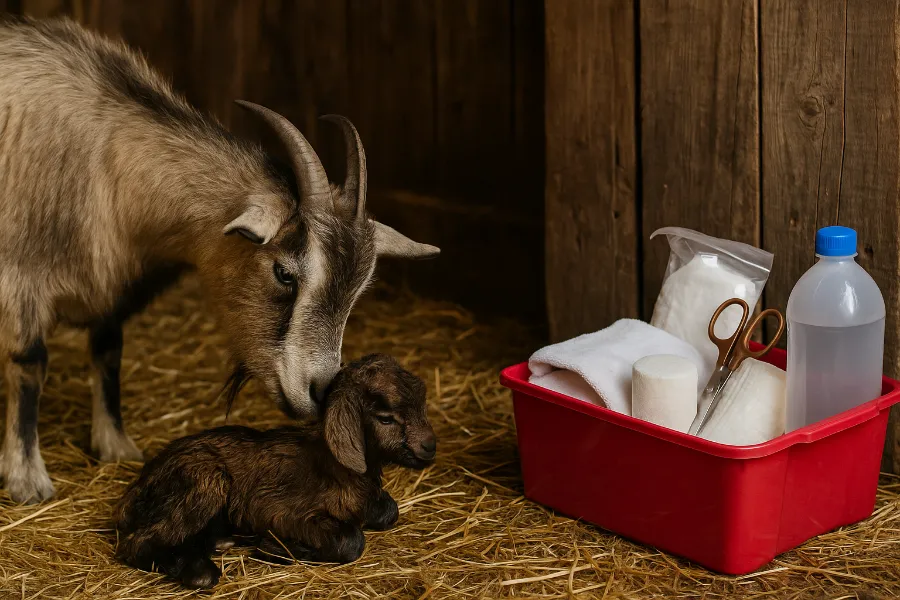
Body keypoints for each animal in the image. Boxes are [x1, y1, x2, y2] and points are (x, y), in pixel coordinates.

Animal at [0, 16, 438, 503]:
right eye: (284, 273)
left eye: (358, 292)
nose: (319, 391)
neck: (106, 163)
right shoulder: (21, 278)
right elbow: (28, 364)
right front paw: (27, 478)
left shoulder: (114, 287)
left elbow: (108, 354)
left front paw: (115, 445)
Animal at [114, 353, 436, 588]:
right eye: (385, 418)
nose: (430, 446)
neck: (336, 466)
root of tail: (138, 486)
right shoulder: (278, 509)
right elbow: (352, 541)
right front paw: (277, 547)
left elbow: (388, 510)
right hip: (204, 482)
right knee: (137, 544)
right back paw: (198, 571)